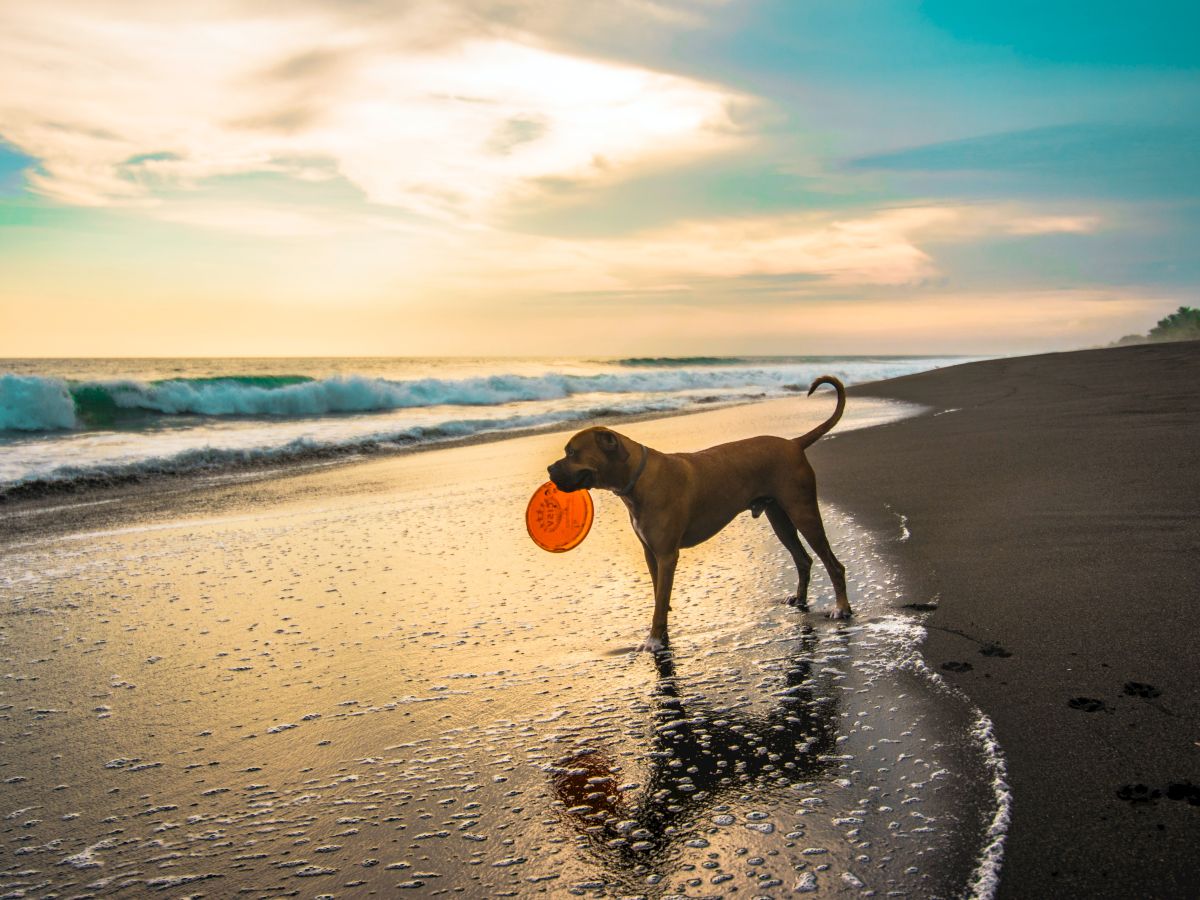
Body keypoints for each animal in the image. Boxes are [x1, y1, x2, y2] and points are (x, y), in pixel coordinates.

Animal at [549, 376, 849, 652]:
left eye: (572, 452)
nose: (550, 470)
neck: (638, 478)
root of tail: (794, 443)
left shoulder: (667, 555)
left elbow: (661, 600)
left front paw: (654, 639)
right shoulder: (651, 554)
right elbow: (659, 595)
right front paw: (662, 633)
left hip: (803, 512)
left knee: (834, 565)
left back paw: (841, 608)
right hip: (779, 518)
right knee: (803, 559)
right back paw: (800, 599)